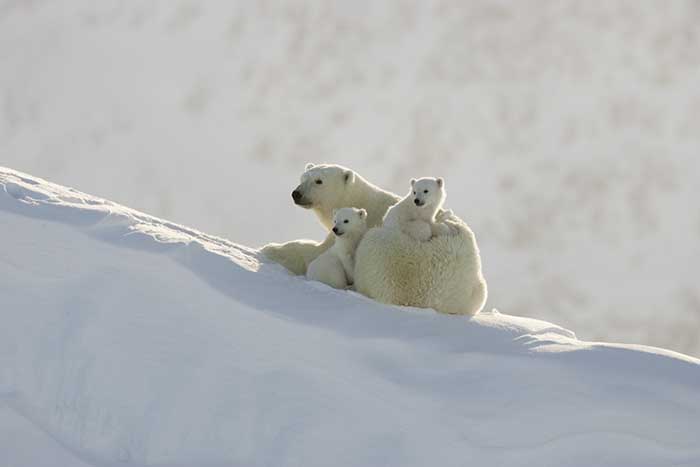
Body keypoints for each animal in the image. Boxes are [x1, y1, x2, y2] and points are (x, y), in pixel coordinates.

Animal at [260, 164, 400, 276]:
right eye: (303, 178)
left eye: (319, 181)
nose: (296, 194)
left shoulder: (348, 231)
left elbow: (317, 252)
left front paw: (271, 248)